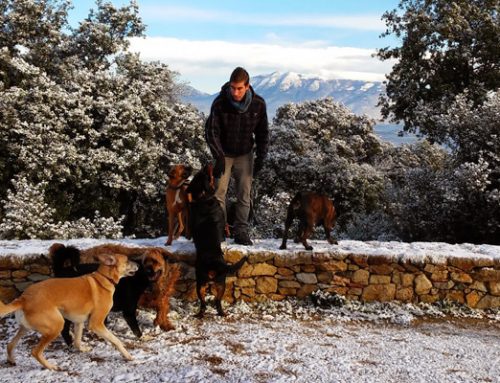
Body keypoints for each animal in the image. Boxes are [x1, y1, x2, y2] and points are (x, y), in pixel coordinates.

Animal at [0, 254, 138, 370]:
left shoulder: (79, 321)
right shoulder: (96, 324)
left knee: (10, 345)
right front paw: (128, 356)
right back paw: (51, 367)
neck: (104, 278)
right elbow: (116, 340)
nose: (138, 264)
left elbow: (77, 342)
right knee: (35, 352)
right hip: (56, 326)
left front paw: (82, 349)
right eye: (127, 260)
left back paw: (11, 360)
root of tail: (24, 298)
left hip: (25, 328)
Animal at [186, 164, 248, 318]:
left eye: (202, 172)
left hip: (206, 283)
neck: (204, 198)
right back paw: (219, 313)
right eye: (207, 173)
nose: (208, 164)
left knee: (208, 303)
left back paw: (204, 314)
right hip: (217, 283)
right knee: (214, 301)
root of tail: (214, 265)